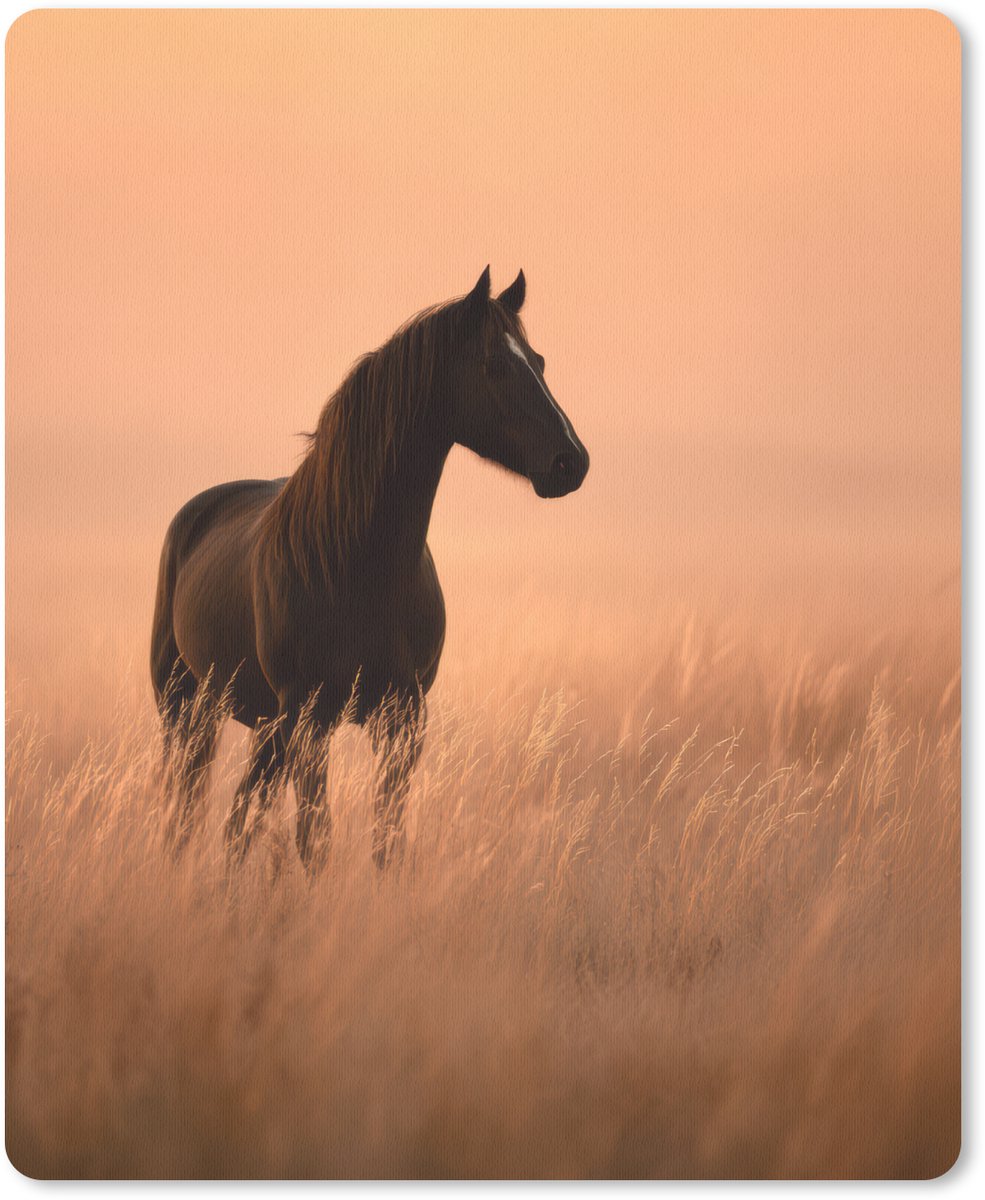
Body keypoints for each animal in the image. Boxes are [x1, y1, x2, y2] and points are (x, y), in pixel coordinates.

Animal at [150, 267, 589, 870]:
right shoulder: (310, 720)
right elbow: (316, 841)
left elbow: (387, 842)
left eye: (539, 361)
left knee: (240, 821)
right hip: (191, 711)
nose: (572, 462)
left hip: (264, 725)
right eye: (495, 364)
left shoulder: (401, 720)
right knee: (188, 813)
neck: (358, 566)